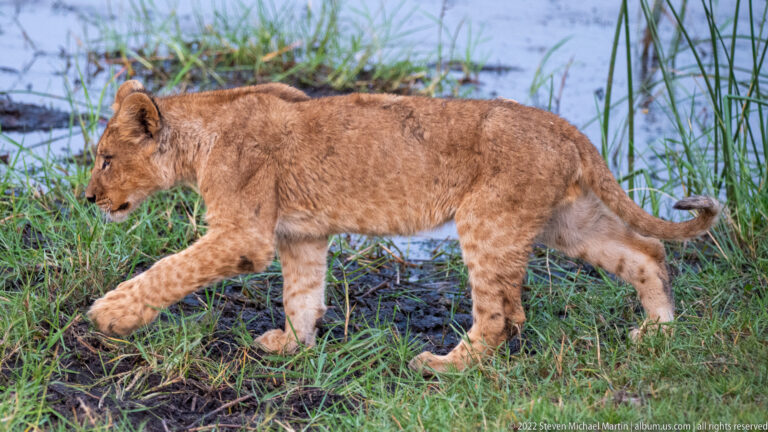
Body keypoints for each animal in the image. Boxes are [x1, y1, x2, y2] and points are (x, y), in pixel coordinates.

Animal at [84, 80, 720, 373]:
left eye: (106, 159)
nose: (89, 198)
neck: (199, 135)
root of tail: (566, 128)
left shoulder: (245, 235)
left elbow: (170, 269)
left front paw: (111, 315)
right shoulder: (300, 233)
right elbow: (301, 293)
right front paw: (293, 344)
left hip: (487, 220)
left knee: (501, 318)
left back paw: (445, 366)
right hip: (567, 222)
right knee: (645, 252)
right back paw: (657, 331)